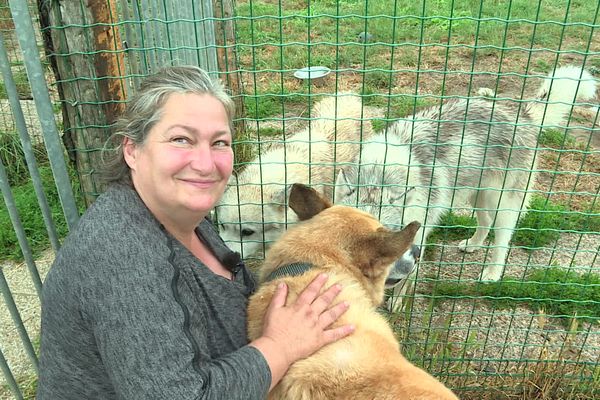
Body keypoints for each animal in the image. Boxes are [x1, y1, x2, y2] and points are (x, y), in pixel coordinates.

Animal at [338, 65, 596, 288]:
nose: (397, 275)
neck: (377, 174)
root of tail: (522, 115)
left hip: (501, 205)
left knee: (502, 241)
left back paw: (492, 273)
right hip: (477, 197)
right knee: (485, 223)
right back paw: (472, 245)